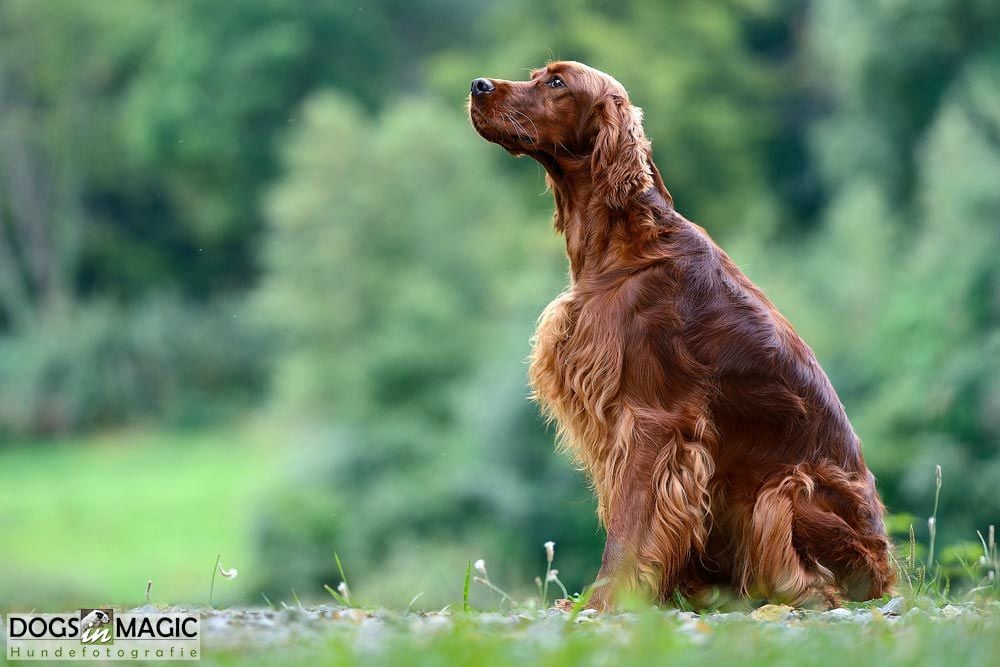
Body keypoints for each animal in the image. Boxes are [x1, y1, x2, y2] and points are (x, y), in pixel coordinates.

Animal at [470, 61, 900, 612]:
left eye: (558, 83)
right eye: (535, 74)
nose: (478, 85)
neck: (625, 244)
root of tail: (886, 574)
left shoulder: (653, 419)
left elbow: (630, 521)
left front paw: (605, 601)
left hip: (782, 490)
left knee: (819, 585)